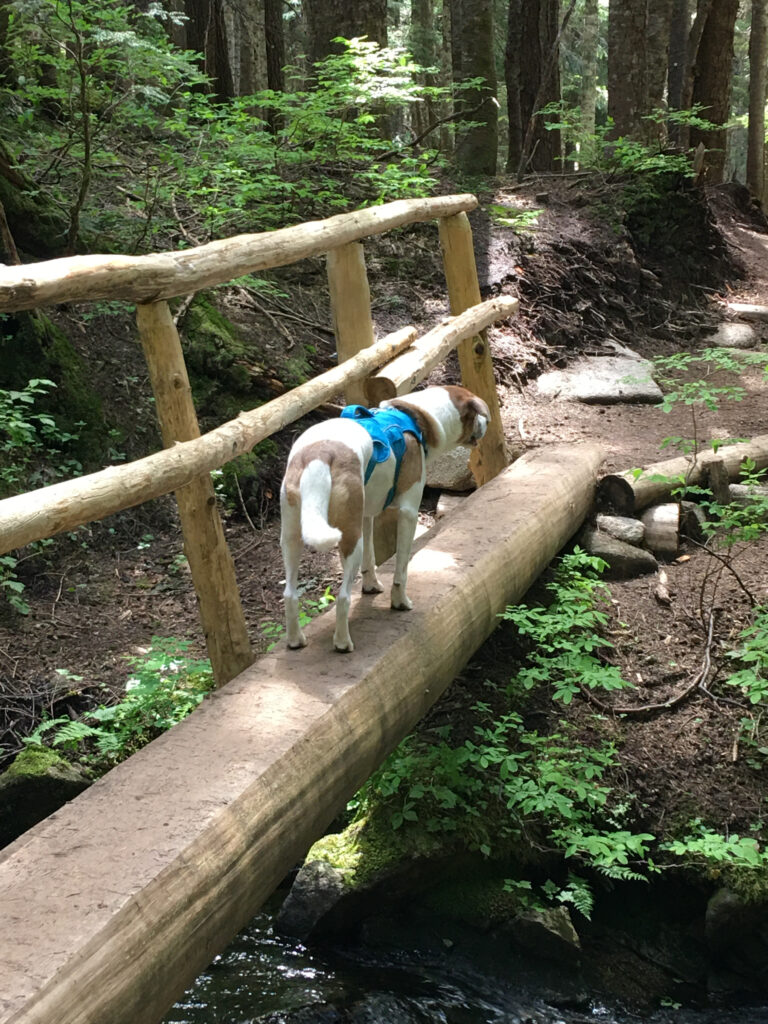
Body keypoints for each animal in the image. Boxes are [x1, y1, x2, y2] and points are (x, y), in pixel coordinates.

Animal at [280, 387, 489, 651]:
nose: (487, 423)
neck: (420, 417)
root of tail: (319, 456)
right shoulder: (409, 512)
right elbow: (402, 570)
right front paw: (400, 602)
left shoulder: (367, 515)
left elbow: (370, 560)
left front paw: (371, 587)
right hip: (350, 540)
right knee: (343, 597)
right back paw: (343, 642)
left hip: (291, 539)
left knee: (290, 594)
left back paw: (295, 640)